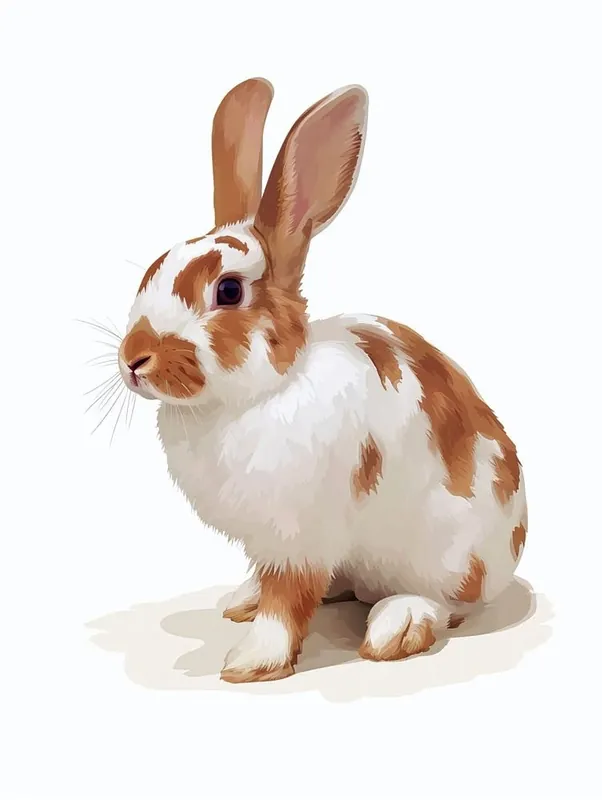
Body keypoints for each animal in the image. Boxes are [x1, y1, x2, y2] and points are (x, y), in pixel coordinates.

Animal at [117, 77, 527, 683]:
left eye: (229, 291)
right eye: (152, 268)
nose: (132, 359)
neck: (259, 394)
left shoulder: (301, 536)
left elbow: (287, 600)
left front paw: (252, 662)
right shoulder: (271, 540)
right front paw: (246, 611)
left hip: (445, 553)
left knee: (445, 603)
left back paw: (396, 626)